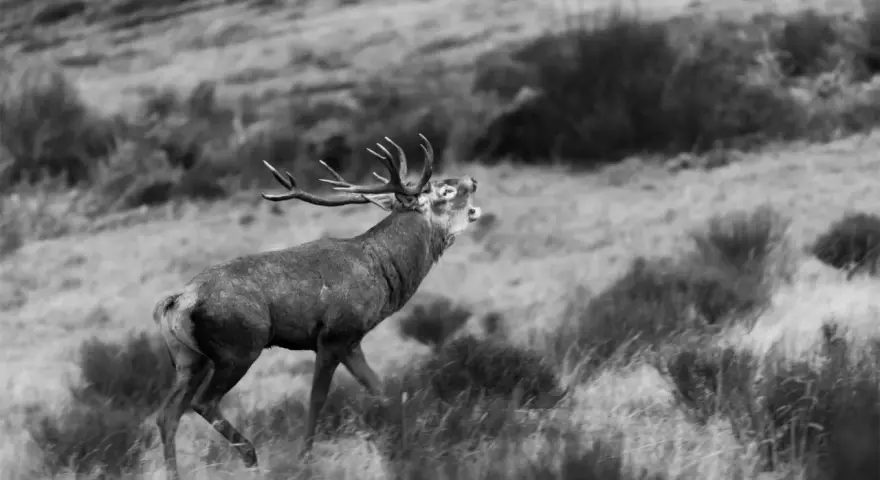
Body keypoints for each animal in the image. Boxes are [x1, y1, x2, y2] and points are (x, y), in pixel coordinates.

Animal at [152, 134, 482, 479]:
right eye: (444, 191)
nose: (472, 179)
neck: (382, 271)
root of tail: (176, 302)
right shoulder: (333, 335)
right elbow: (316, 399)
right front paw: (305, 459)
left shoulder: (352, 342)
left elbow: (382, 390)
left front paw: (409, 441)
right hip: (238, 347)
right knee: (203, 403)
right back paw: (251, 455)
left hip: (190, 359)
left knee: (167, 414)